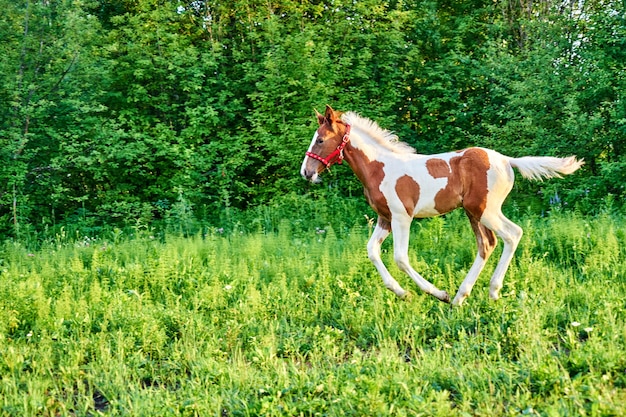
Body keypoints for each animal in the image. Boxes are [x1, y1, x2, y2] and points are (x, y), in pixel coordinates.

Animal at [298, 105, 580, 306]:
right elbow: (372, 251)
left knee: (512, 234)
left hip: (485, 210)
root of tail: (507, 160)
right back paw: (461, 297)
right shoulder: (385, 218)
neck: (380, 167)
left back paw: (490, 292)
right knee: (487, 244)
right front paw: (401, 292)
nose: (306, 173)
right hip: (473, 213)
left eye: (320, 140)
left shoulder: (402, 217)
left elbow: (400, 257)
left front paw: (436, 293)